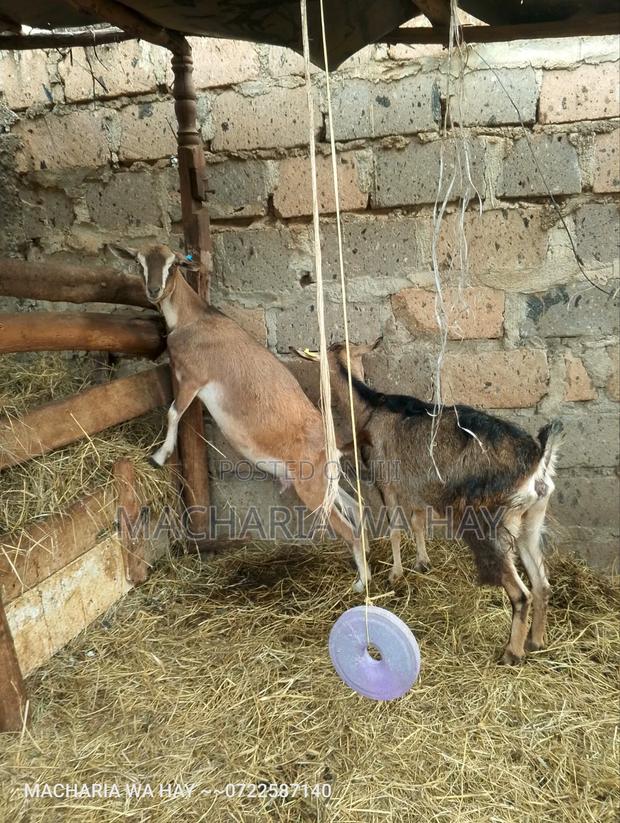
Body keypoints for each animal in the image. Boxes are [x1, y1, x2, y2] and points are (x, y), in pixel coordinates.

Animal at [109, 244, 368, 589]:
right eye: (138, 262)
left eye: (173, 265)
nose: (153, 291)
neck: (194, 318)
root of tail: (332, 447)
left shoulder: (193, 377)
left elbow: (173, 413)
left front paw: (158, 457)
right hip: (329, 485)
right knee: (358, 511)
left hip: (312, 488)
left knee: (349, 528)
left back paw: (361, 584)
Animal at [313, 342, 563, 665]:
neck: (374, 407)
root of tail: (538, 459)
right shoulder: (415, 489)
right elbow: (418, 523)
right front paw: (422, 563)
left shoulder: (386, 482)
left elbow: (395, 529)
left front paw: (395, 575)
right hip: (531, 520)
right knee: (542, 583)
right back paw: (536, 641)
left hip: (494, 525)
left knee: (521, 594)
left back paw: (511, 653)